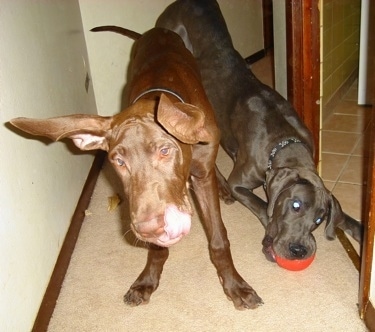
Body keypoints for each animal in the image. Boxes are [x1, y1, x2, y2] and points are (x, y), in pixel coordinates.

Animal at [8, 27, 262, 310]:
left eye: (165, 151)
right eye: (119, 162)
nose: (149, 228)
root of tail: (156, 30)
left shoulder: (202, 175)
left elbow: (218, 239)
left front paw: (235, 286)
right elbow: (157, 250)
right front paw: (147, 280)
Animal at [156, 0, 362, 264]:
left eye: (318, 219)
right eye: (295, 205)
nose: (299, 250)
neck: (285, 143)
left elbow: (345, 217)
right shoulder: (240, 183)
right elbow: (264, 206)